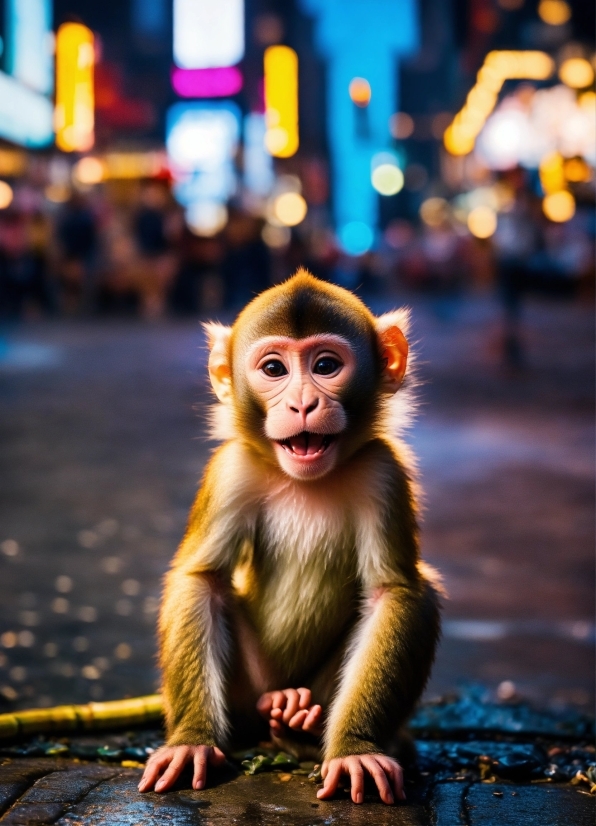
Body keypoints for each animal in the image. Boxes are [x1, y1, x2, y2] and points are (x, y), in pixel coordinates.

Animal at [137, 268, 440, 800]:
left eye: (326, 365)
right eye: (275, 369)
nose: (302, 403)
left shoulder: (383, 471)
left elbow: (394, 591)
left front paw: (356, 748)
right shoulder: (231, 469)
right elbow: (203, 579)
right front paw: (191, 740)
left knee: (421, 596)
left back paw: (301, 724)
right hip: (252, 684)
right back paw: (271, 715)